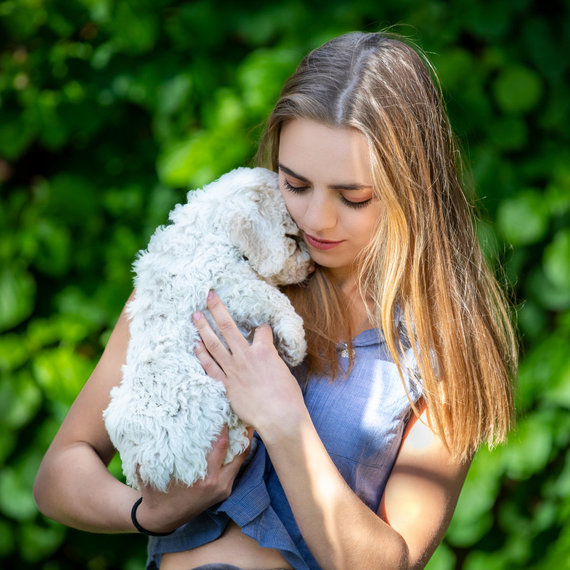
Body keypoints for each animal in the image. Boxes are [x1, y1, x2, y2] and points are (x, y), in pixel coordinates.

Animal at [104, 166, 312, 490]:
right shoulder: (231, 288)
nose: (312, 265)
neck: (215, 229)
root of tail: (147, 471)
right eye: (292, 236)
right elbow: (274, 298)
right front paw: (294, 343)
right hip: (209, 400)